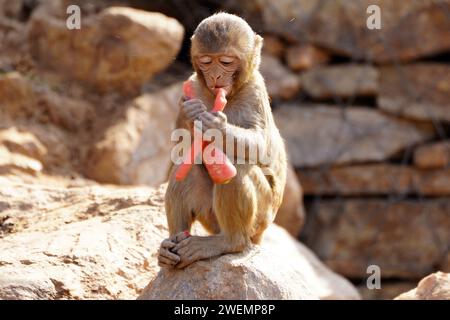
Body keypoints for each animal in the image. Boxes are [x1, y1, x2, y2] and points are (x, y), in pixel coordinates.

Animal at [156, 12, 286, 268]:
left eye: (226, 62)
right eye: (206, 61)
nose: (215, 76)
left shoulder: (255, 90)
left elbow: (260, 145)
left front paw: (217, 126)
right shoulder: (192, 84)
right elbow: (180, 146)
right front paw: (190, 115)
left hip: (260, 218)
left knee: (237, 163)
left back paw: (229, 241)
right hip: (210, 218)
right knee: (188, 168)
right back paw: (171, 245)